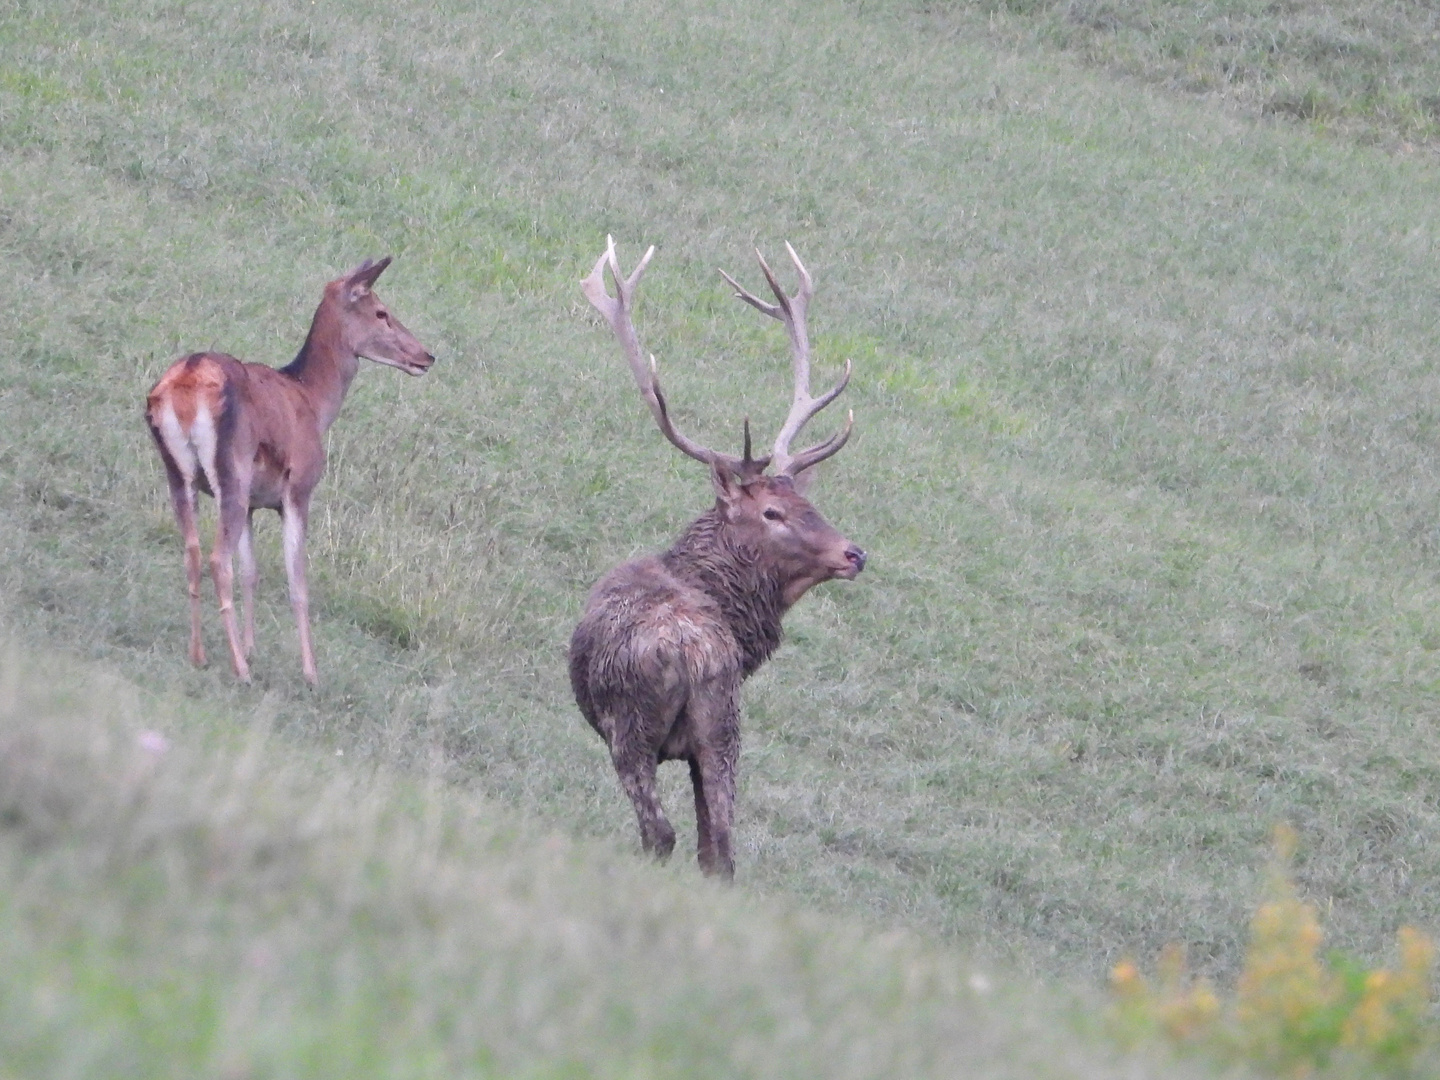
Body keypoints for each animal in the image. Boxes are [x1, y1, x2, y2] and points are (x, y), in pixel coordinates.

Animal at [149, 257, 437, 688]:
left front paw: (253, 647)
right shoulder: (299, 489)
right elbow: (297, 582)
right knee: (218, 560)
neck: (314, 403)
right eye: (381, 311)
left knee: (193, 551)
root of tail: (184, 386)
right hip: (231, 473)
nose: (426, 356)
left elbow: (252, 571)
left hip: (179, 474)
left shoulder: (255, 502)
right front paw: (310, 672)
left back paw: (199, 655)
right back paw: (240, 670)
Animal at [570, 236, 864, 881]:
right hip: (723, 730)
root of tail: (694, 653)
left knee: (661, 833)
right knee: (721, 849)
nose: (855, 552)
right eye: (776, 511)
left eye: (806, 502)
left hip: (633, 727)